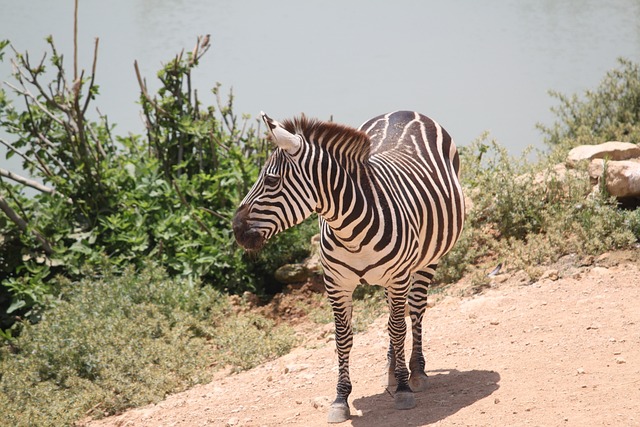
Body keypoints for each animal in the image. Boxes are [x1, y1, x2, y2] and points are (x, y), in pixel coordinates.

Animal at [232, 110, 462, 424]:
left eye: (270, 180)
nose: (235, 229)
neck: (351, 232)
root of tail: (405, 112)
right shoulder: (336, 284)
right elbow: (344, 338)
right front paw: (341, 399)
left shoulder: (399, 276)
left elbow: (398, 329)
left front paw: (404, 390)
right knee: (394, 318)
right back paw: (393, 371)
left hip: (426, 260)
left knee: (413, 312)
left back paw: (415, 371)